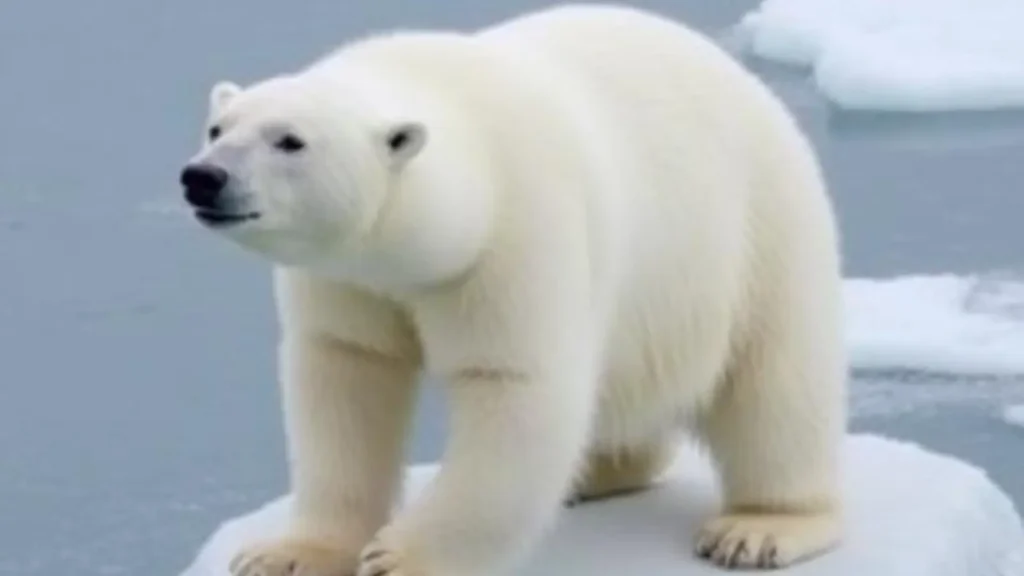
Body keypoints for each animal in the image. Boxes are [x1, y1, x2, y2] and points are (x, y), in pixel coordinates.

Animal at [179, 4, 847, 576]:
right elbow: (346, 376)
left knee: (775, 388)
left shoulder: (516, 235)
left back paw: (760, 527)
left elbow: (516, 388)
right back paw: (597, 473)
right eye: (216, 127)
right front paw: (286, 553)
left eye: (289, 140)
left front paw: (400, 557)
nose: (203, 177)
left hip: (758, 233)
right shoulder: (346, 279)